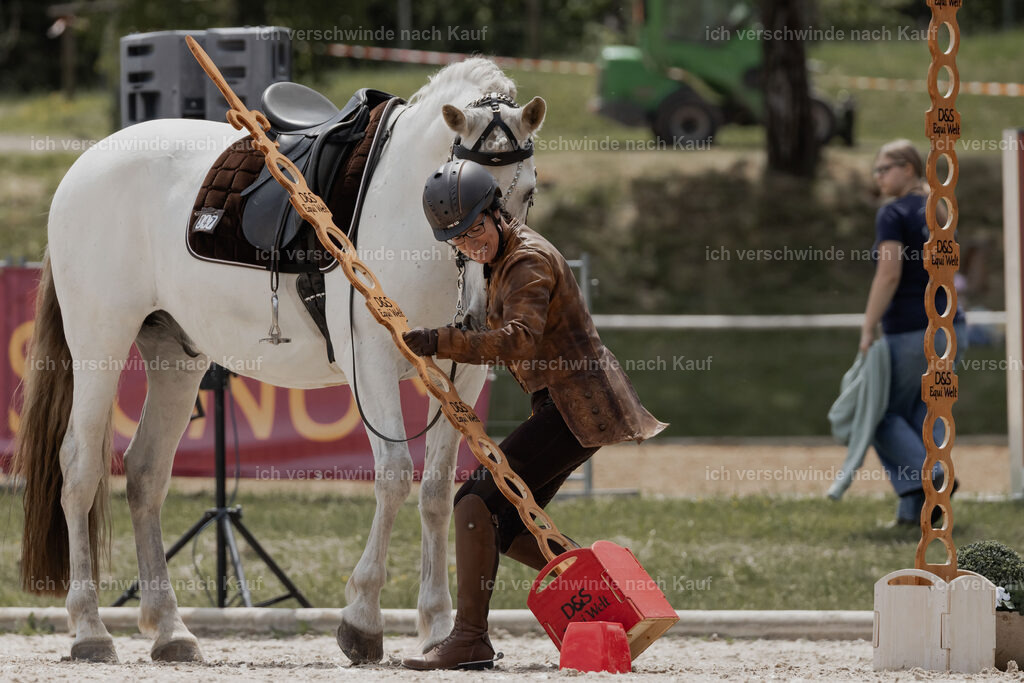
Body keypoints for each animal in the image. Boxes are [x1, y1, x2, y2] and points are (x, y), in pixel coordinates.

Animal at [13, 57, 545, 664]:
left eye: (527, 192)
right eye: (463, 193)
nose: (482, 310)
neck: (408, 216)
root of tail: (86, 165)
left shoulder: (462, 375)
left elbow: (434, 491)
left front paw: (435, 628)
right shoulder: (373, 364)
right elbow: (393, 476)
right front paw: (362, 620)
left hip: (174, 356)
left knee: (146, 473)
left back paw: (171, 630)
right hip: (99, 344)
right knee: (79, 466)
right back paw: (89, 629)